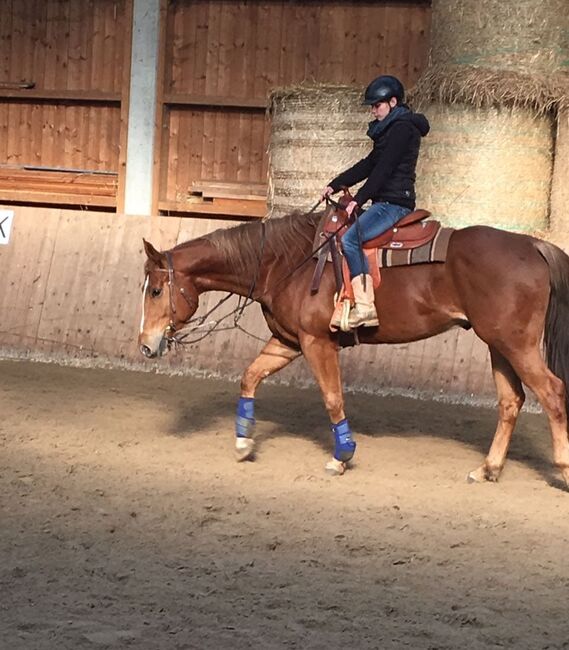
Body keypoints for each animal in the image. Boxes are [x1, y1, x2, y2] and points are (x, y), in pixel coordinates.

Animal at [138, 210, 568, 484]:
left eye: (156, 290)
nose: (145, 346)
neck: (286, 263)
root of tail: (532, 245)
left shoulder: (316, 342)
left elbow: (332, 398)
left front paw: (341, 457)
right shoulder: (288, 342)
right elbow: (250, 377)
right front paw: (244, 443)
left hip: (516, 344)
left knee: (553, 393)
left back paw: (561, 468)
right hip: (498, 343)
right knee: (511, 401)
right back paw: (488, 469)